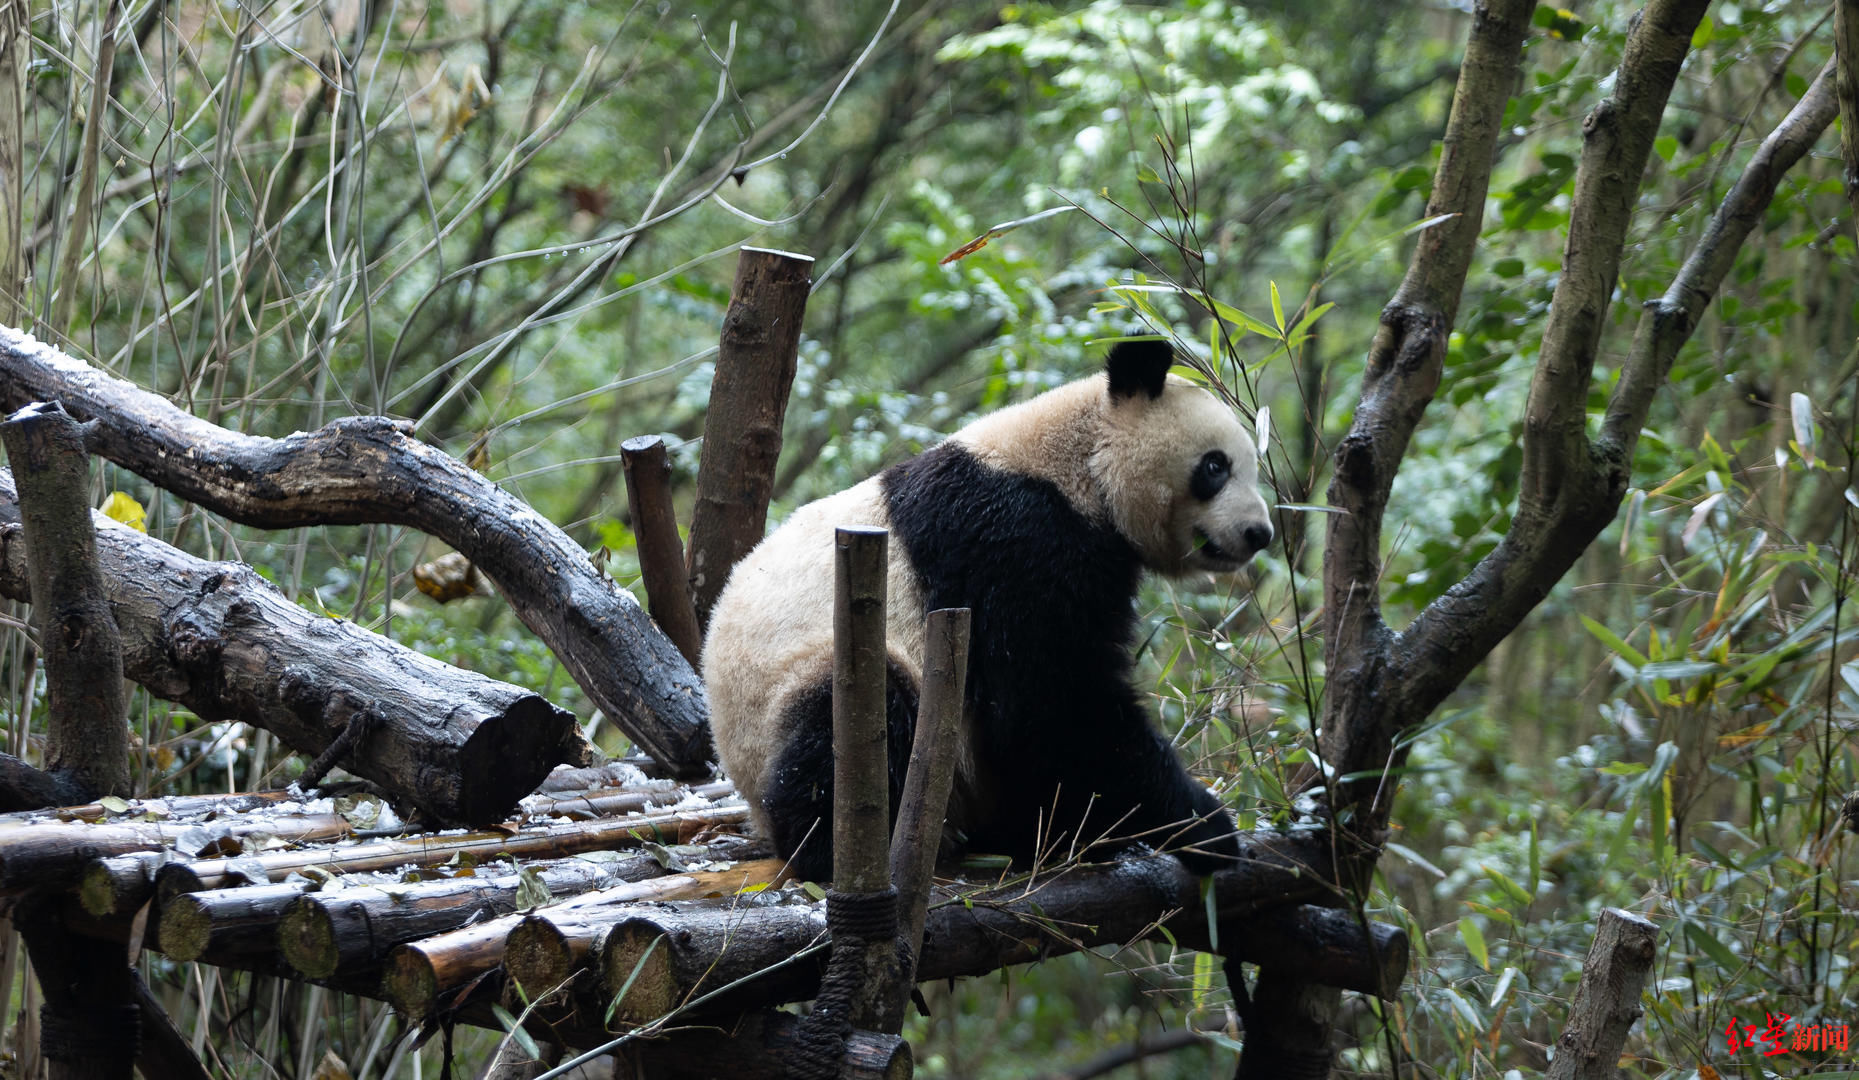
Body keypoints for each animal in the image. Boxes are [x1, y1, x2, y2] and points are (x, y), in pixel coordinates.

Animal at [702, 342, 1271, 881]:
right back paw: (841, 848)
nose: (1259, 533)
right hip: (793, 684)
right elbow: (1054, 703)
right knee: (854, 718)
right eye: (1216, 466)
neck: (1075, 461)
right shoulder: (1014, 538)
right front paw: (1203, 828)